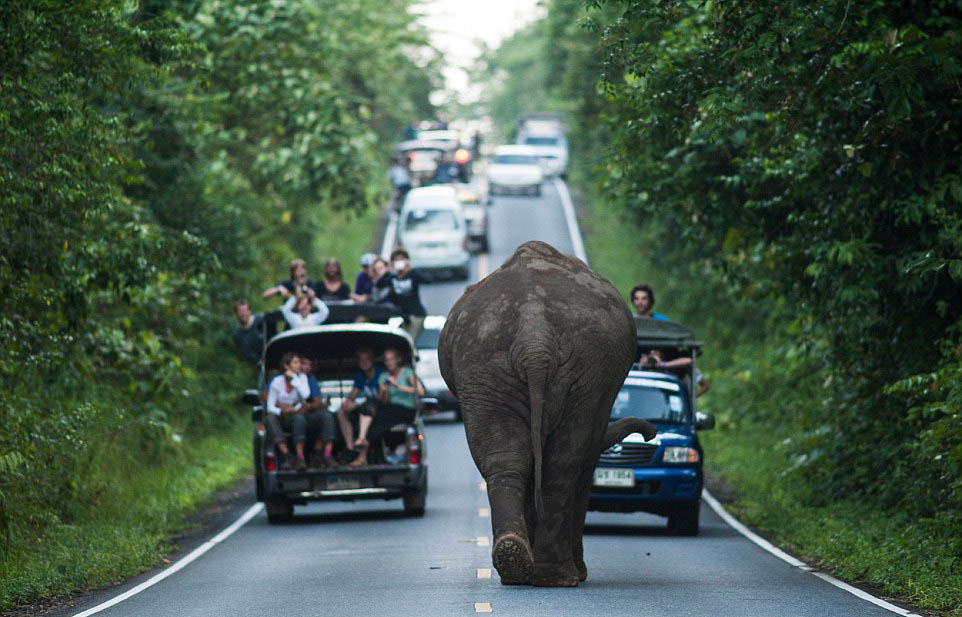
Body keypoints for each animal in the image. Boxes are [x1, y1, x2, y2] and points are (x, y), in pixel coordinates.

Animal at [438, 238, 656, 584]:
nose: (651, 433)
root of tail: (534, 338)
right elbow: (584, 464)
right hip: (583, 374)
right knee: (563, 464)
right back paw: (558, 576)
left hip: (485, 368)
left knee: (506, 459)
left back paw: (515, 564)